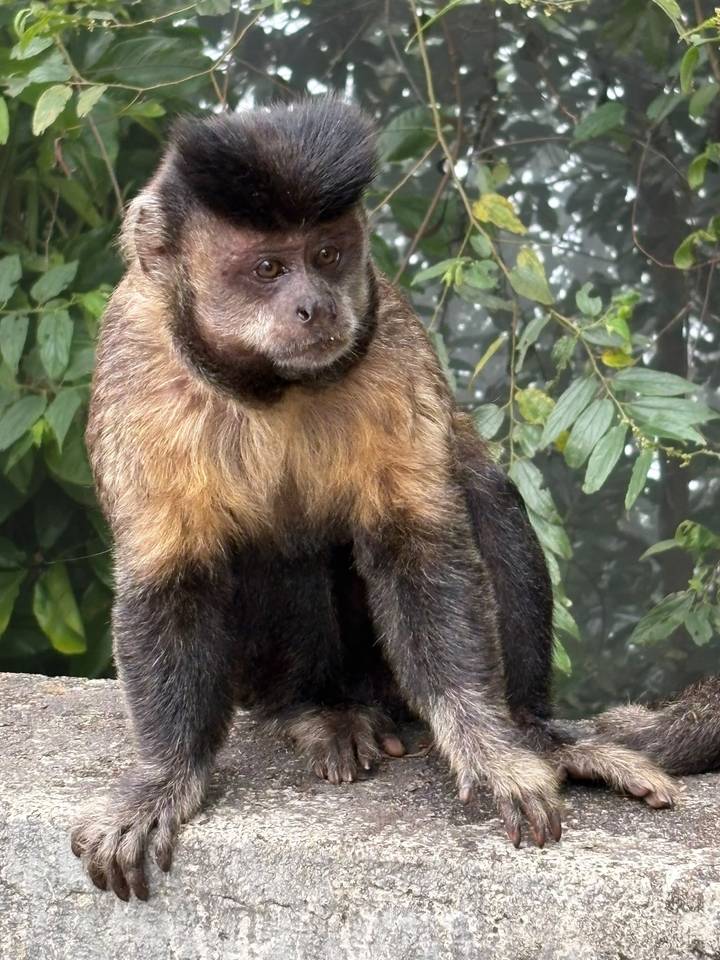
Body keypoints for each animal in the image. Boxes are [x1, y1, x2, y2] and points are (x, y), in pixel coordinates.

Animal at [70, 97, 702, 902]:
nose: (314, 305)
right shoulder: (134, 360)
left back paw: (534, 729)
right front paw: (162, 778)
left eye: (329, 255)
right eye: (269, 268)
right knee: (275, 553)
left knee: (482, 493)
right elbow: (169, 575)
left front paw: (490, 747)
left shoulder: (391, 334)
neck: (269, 383)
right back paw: (320, 711)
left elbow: (420, 547)